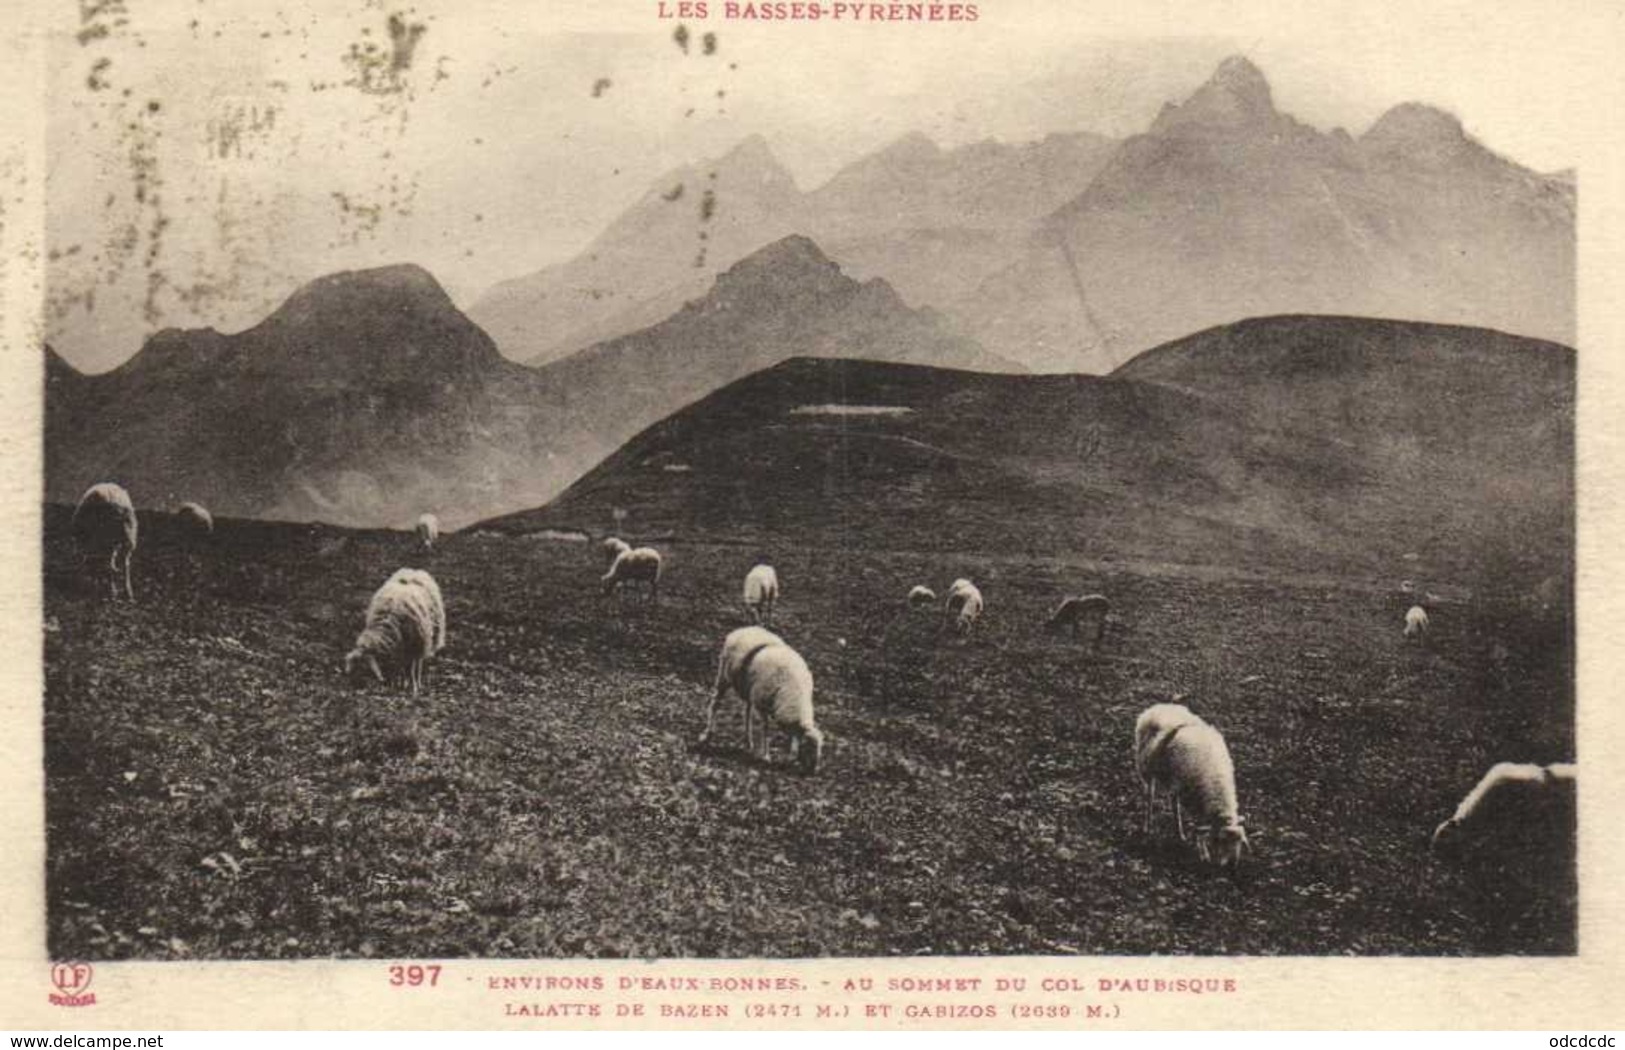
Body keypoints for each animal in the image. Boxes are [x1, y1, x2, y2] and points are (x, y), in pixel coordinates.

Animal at [342, 568, 445, 698]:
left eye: (364, 668)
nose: (355, 689)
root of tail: (413, 571)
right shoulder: (399, 646)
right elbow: (401, 666)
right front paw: (402, 682)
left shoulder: (414, 644)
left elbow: (412, 668)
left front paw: (414, 687)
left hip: (425, 636)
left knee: (419, 662)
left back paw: (418, 681)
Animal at [702, 624, 825, 773]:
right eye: (807, 747)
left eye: (820, 748)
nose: (814, 771)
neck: (793, 692)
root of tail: (744, 629)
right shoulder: (761, 705)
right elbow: (765, 729)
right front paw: (766, 755)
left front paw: (790, 756)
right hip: (724, 676)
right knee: (716, 703)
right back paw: (708, 734)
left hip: (749, 688)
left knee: (747, 712)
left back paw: (748, 741)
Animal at [1157, 718, 1241, 871]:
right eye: (1222, 840)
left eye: (1239, 842)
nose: (1232, 865)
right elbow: (1199, 828)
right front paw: (1203, 855)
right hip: (1179, 783)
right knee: (1174, 803)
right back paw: (1179, 831)